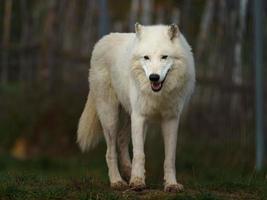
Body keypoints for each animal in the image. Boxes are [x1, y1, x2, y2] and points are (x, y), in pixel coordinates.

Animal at [76, 23, 196, 192]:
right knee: (110, 151)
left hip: (130, 116)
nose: (154, 77)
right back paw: (117, 181)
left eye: (164, 57)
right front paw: (138, 182)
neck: (158, 95)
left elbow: (170, 157)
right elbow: (139, 154)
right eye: (146, 57)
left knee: (121, 139)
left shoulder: (171, 119)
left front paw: (171, 184)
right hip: (111, 117)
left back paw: (128, 172)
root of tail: (101, 41)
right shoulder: (139, 117)